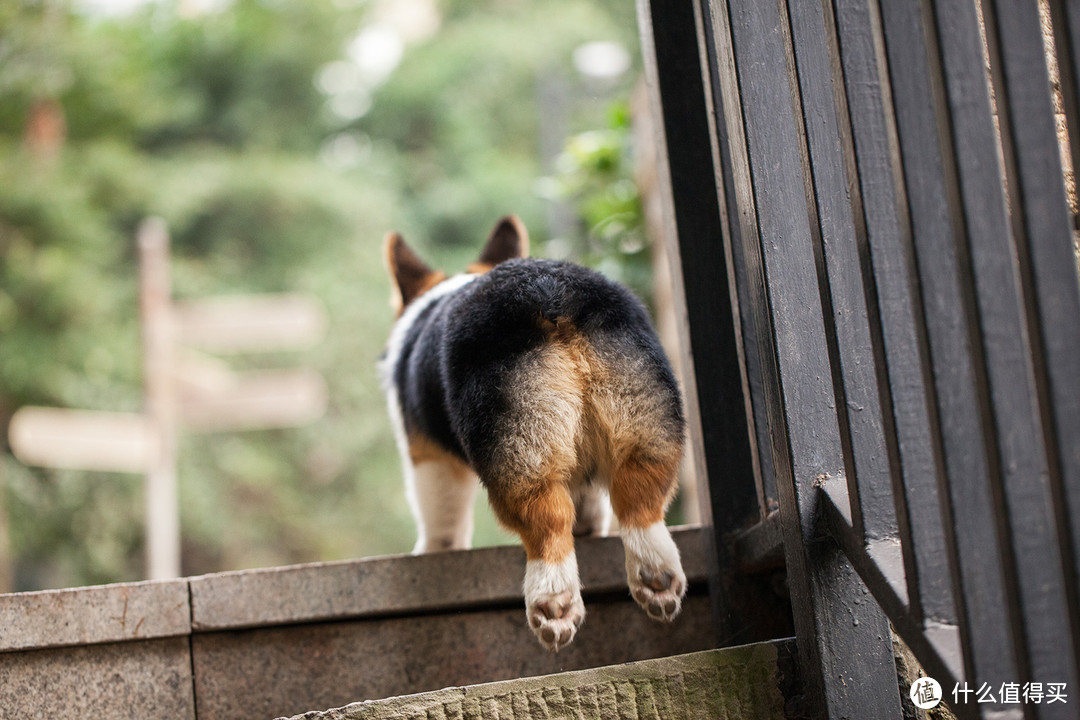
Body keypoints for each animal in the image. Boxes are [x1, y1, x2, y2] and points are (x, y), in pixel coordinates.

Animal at [380, 215, 682, 651]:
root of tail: (552, 293)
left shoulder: (429, 459)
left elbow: (442, 521)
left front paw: (432, 551)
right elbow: (588, 498)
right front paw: (589, 528)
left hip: (518, 444)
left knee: (547, 521)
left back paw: (553, 602)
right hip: (644, 415)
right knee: (639, 498)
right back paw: (657, 578)